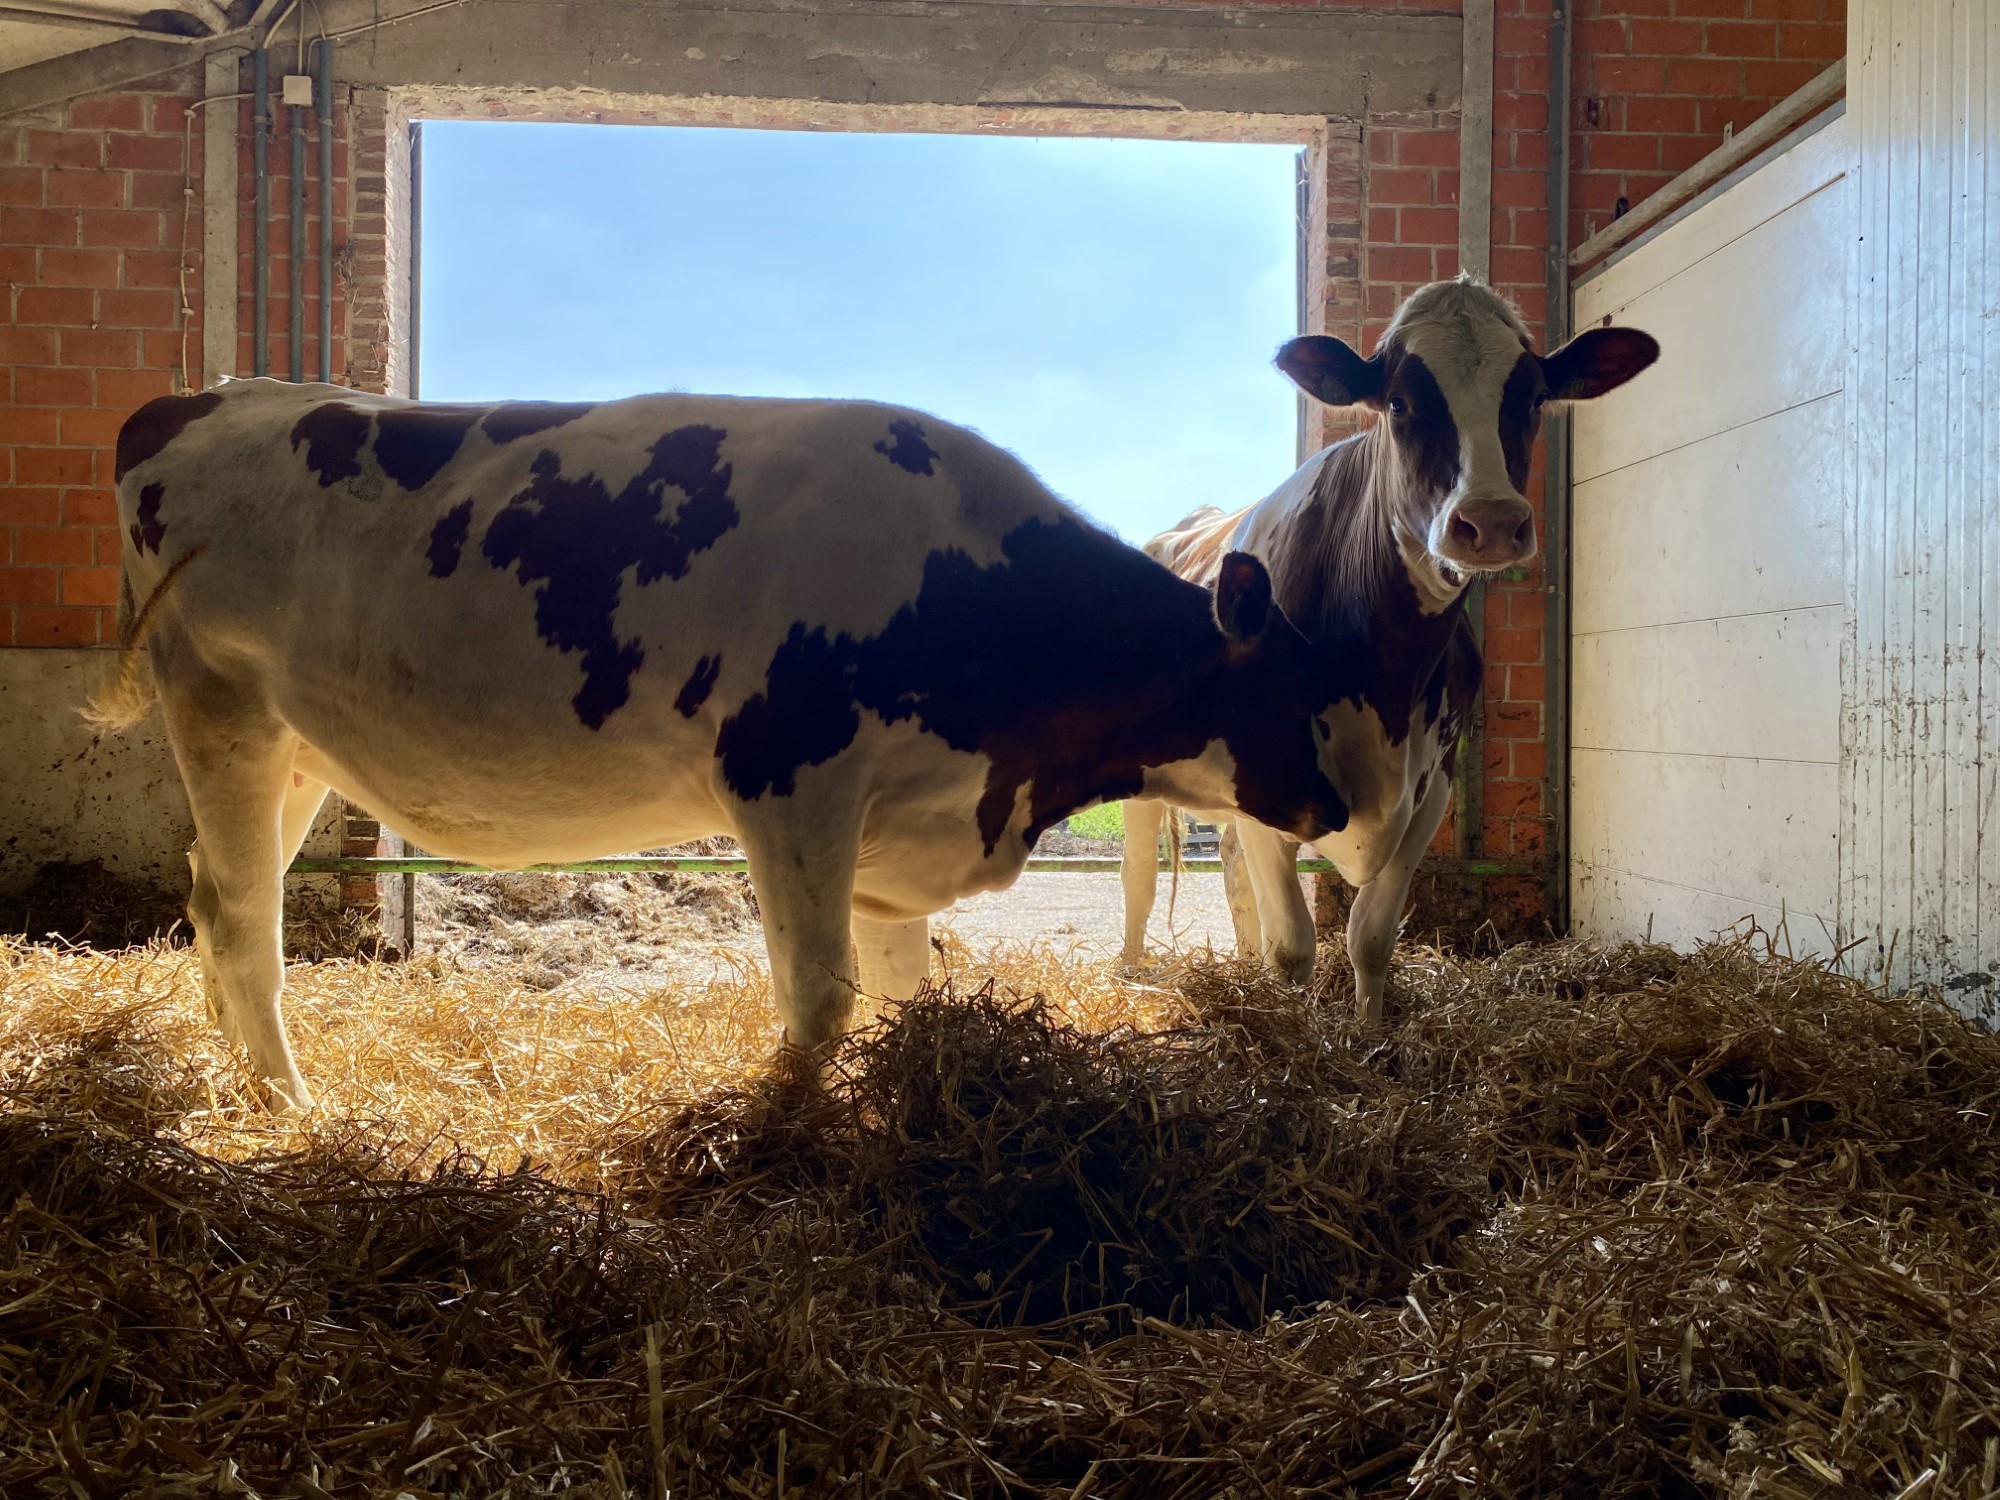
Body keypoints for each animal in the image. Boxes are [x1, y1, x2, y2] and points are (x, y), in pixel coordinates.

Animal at [92, 379, 1370, 1110]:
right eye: (1296, 687)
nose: (1336, 808)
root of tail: (202, 399)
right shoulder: (788, 781)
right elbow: (817, 1000)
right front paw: (777, 1124)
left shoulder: (897, 828)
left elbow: (897, 985)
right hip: (220, 703)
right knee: (244, 916)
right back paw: (287, 1107)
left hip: (299, 751)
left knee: (213, 895)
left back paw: (237, 1078)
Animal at [1119, 278, 1658, 1021]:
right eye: (1399, 402)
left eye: (1533, 399)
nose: (1491, 521)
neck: (1386, 673)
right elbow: (1294, 949)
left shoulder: (1431, 789)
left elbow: (1370, 939)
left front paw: (1366, 1034)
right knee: (1140, 874)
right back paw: (1129, 973)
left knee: (1230, 870)